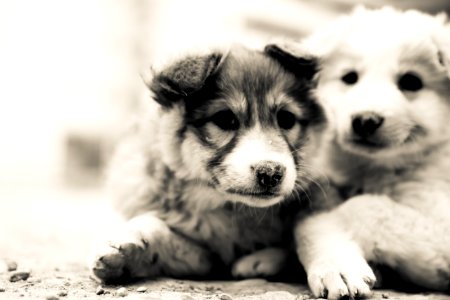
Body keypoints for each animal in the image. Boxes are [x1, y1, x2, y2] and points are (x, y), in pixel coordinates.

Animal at [89, 44, 326, 282]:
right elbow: (159, 230)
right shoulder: (206, 257)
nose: (270, 172)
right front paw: (125, 245)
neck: (229, 207)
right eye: (225, 119)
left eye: (286, 119)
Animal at [274, 7, 450, 300]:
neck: (372, 168)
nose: (365, 120)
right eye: (350, 78)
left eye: (411, 82)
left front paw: (337, 263)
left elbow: (358, 208)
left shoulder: (440, 224)